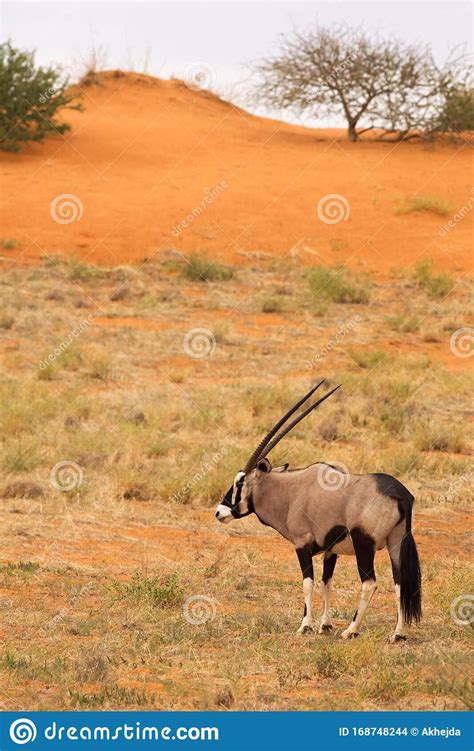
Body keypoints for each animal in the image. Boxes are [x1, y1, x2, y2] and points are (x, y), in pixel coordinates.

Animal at [216, 382, 422, 640]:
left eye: (240, 483)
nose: (219, 512)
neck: (291, 491)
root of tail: (400, 494)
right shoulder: (330, 551)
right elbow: (326, 582)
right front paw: (324, 624)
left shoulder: (302, 544)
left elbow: (308, 582)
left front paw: (305, 625)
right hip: (395, 543)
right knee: (400, 583)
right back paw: (398, 633)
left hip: (364, 545)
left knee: (369, 583)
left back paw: (351, 630)